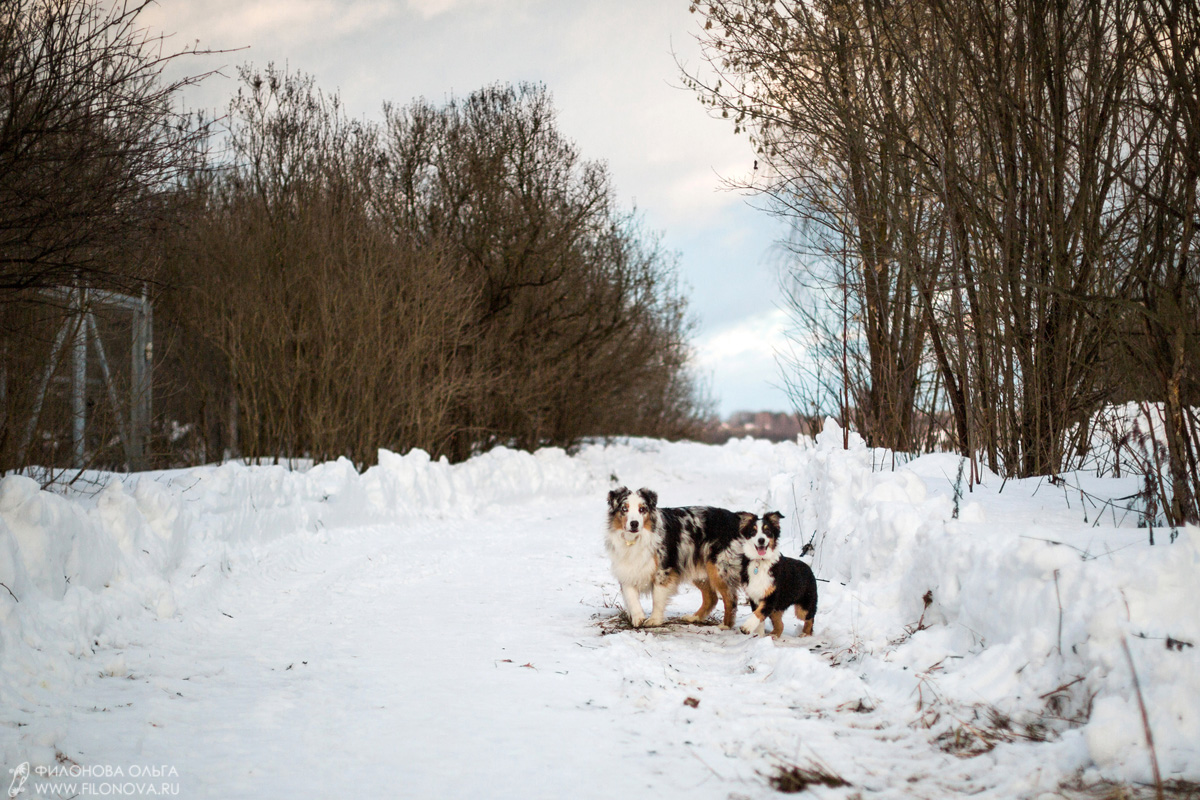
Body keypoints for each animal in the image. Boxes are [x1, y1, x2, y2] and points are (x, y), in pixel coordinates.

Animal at [604, 484, 744, 628]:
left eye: (642, 509)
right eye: (624, 509)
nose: (634, 523)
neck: (636, 539)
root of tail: (734, 517)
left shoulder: (663, 570)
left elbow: (657, 597)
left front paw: (654, 619)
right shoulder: (626, 568)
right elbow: (631, 596)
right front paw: (638, 618)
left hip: (719, 567)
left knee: (730, 598)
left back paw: (725, 625)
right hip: (698, 569)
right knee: (711, 597)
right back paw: (694, 618)